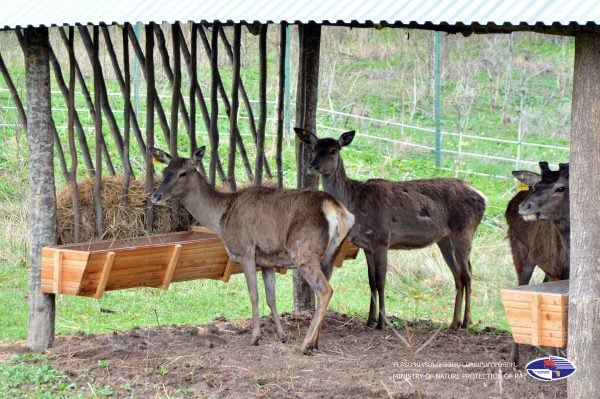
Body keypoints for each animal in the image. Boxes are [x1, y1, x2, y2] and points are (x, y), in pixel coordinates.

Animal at [151, 146, 356, 354]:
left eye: (182, 173)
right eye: (164, 171)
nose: (155, 196)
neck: (220, 219)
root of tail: (337, 209)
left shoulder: (246, 251)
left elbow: (254, 295)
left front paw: (256, 337)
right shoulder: (267, 261)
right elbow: (271, 298)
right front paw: (282, 335)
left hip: (303, 251)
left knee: (325, 290)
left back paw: (305, 344)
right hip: (331, 253)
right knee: (323, 289)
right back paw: (315, 343)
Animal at [296, 129, 488, 332]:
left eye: (333, 150)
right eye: (313, 148)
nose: (312, 166)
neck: (356, 203)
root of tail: (483, 198)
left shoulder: (381, 239)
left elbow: (381, 282)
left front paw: (382, 323)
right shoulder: (366, 246)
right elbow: (371, 282)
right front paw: (369, 321)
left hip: (464, 230)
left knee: (467, 274)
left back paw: (466, 322)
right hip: (444, 239)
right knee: (459, 274)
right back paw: (454, 323)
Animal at [504, 162, 568, 368]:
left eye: (561, 187)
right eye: (536, 185)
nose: (524, 207)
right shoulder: (557, 272)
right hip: (520, 253)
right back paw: (514, 359)